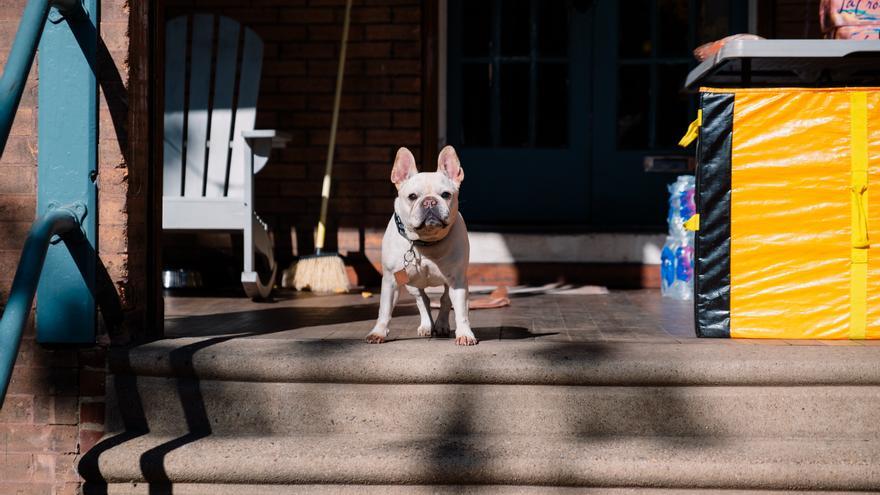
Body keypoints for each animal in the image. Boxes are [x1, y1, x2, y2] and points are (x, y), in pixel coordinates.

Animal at [364, 144, 474, 344]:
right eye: (412, 196)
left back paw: (441, 325)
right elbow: (385, 309)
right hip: (411, 284)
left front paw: (465, 334)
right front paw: (378, 332)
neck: (425, 241)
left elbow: (461, 310)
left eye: (446, 195)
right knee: (423, 300)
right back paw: (426, 325)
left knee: (445, 301)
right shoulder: (391, 280)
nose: (430, 201)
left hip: (450, 283)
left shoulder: (458, 281)